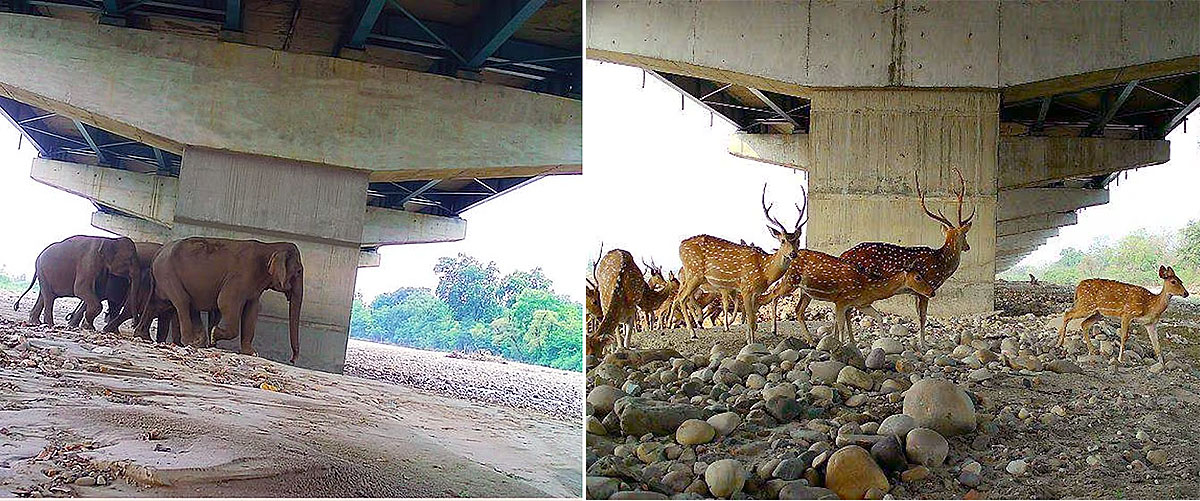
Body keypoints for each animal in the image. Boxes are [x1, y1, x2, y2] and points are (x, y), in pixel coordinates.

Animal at [136, 237, 304, 361]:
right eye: (299, 271)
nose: (292, 360)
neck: (270, 247)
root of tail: (158, 253)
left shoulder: (254, 287)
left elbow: (252, 310)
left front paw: (251, 353)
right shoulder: (239, 277)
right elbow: (225, 302)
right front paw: (214, 336)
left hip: (163, 277)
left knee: (159, 304)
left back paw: (143, 337)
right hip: (168, 274)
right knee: (182, 302)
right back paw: (191, 342)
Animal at [674, 184, 806, 345]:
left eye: (797, 241)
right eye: (782, 241)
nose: (793, 254)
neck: (764, 271)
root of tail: (680, 246)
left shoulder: (756, 293)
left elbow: (753, 321)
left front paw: (750, 341)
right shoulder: (746, 287)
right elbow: (751, 321)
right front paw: (751, 343)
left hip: (690, 276)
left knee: (680, 296)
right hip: (695, 273)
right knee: (682, 298)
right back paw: (693, 333)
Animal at [759, 249, 937, 345]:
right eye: (918, 277)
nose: (932, 292)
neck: (867, 287)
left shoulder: (860, 304)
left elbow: (878, 316)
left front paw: (881, 341)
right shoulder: (841, 300)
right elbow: (842, 324)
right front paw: (841, 344)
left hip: (806, 293)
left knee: (798, 310)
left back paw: (810, 341)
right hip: (790, 281)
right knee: (773, 294)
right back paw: (773, 329)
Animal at [838, 167, 975, 346]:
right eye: (965, 235)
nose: (967, 246)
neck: (941, 262)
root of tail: (843, 255)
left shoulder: (917, 292)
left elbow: (919, 317)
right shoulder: (927, 288)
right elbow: (923, 317)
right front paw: (924, 344)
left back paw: (852, 341)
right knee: (848, 310)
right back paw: (852, 342)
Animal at [1056, 266, 1189, 366]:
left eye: (1181, 281)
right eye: (1173, 281)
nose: (1186, 293)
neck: (1150, 306)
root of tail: (1078, 287)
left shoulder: (1150, 323)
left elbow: (1156, 344)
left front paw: (1162, 364)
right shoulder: (1127, 313)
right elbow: (1124, 336)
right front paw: (1120, 359)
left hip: (1097, 313)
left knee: (1084, 324)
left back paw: (1092, 350)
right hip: (1086, 304)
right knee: (1067, 313)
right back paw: (1059, 343)